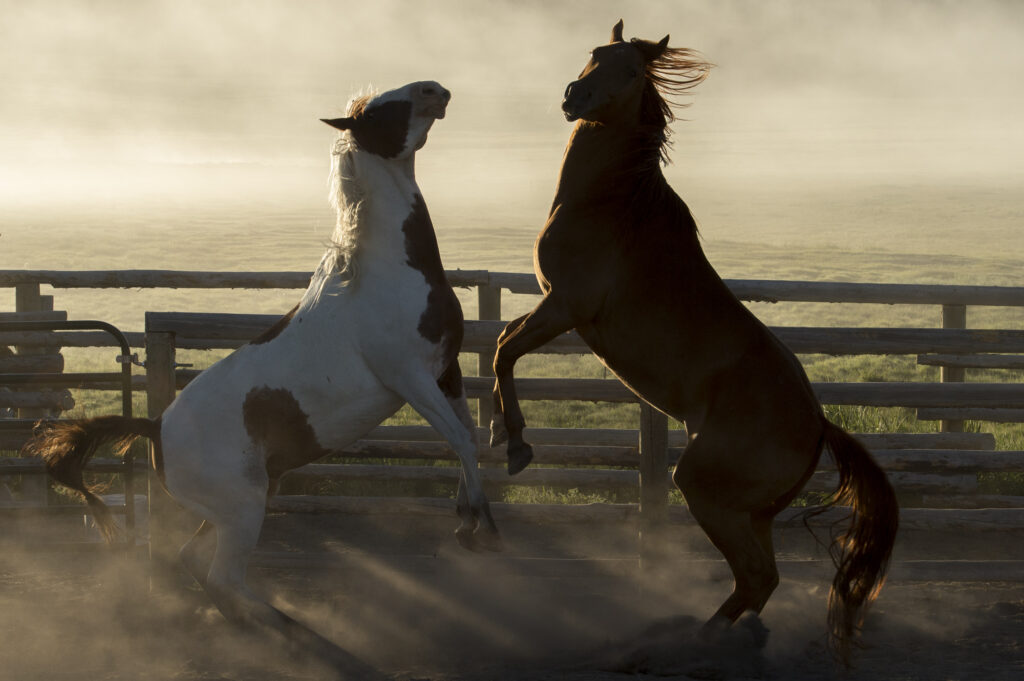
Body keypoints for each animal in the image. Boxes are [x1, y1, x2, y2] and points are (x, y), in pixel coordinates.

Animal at [25, 80, 498, 675]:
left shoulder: (447, 371)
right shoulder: (408, 378)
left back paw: (260, 632)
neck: (386, 272)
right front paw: (480, 527)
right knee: (223, 577)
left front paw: (468, 519)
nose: (435, 90)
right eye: (382, 110)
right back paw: (297, 634)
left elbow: (469, 439)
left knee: (198, 564)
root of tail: (155, 427)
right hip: (244, 507)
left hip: (232, 507)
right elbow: (460, 439)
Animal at [490, 21, 898, 662]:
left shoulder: (565, 307)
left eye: (631, 71)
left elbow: (505, 349)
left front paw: (517, 447)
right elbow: (503, 342)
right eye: (593, 55)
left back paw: (694, 643)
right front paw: (494, 433)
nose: (574, 97)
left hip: (706, 491)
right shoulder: (552, 306)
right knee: (762, 580)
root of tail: (818, 427)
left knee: (755, 576)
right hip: (750, 512)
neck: (612, 204)